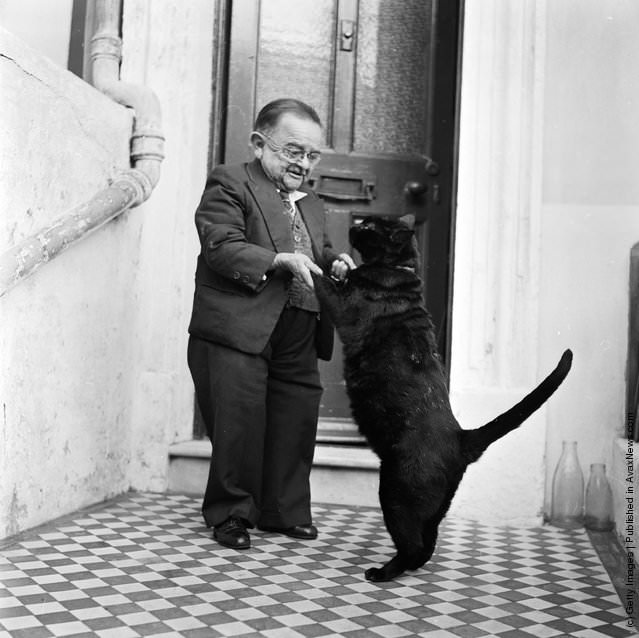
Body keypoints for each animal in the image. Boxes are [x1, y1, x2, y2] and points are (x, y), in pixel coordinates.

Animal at [312, 216, 572, 584]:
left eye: (370, 226)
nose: (356, 223)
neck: (398, 269)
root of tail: (462, 438)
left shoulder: (342, 305)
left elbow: (319, 275)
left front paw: (300, 256)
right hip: (431, 507)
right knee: (427, 543)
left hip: (394, 493)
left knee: (412, 545)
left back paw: (382, 572)